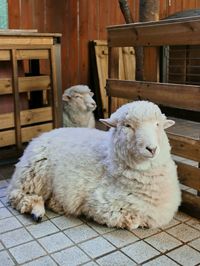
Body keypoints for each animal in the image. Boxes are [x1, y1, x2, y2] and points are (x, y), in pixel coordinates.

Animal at [7, 101, 181, 230]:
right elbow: (134, 222)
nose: (152, 149)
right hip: (32, 175)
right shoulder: (103, 205)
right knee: (17, 195)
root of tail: (40, 136)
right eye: (127, 126)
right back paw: (37, 211)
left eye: (158, 124)